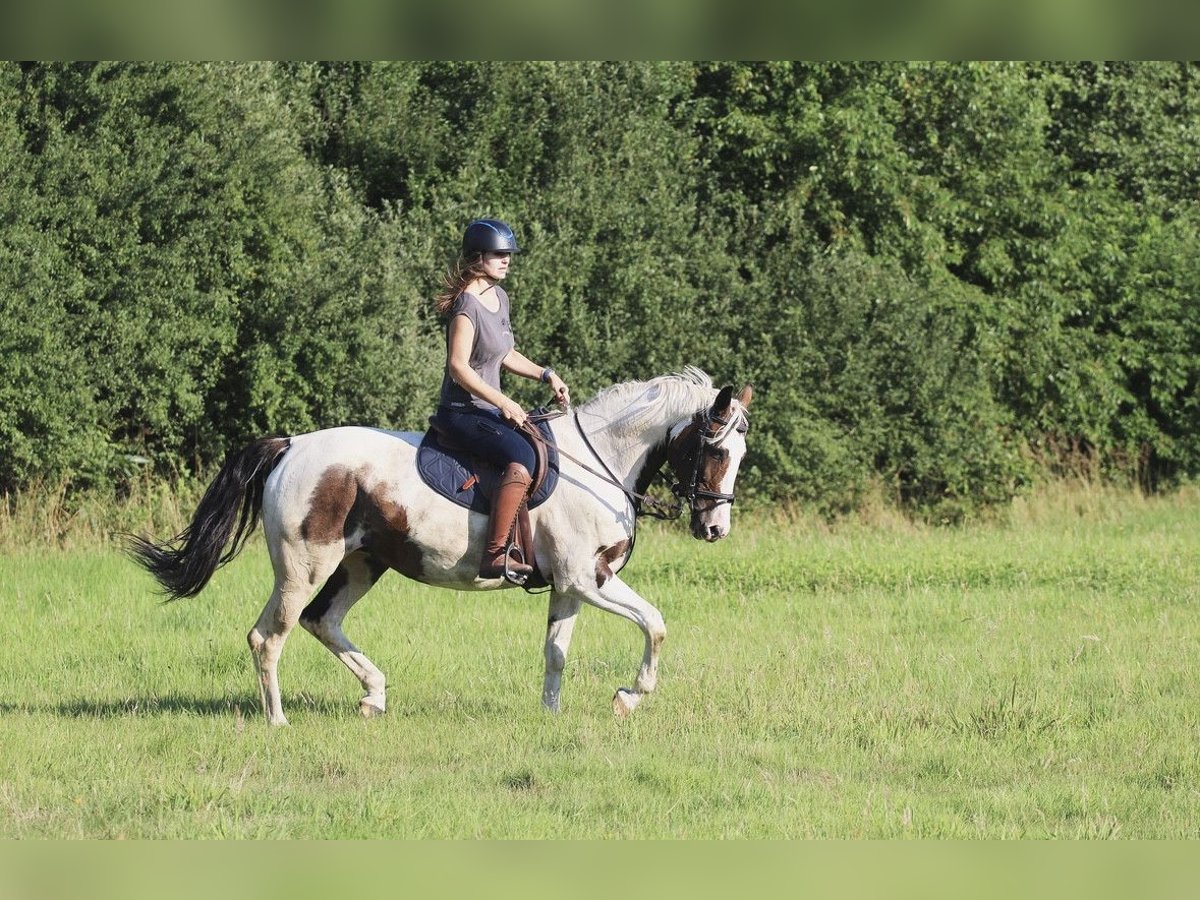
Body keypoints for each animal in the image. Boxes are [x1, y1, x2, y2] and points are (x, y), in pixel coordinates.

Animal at [128, 367, 752, 726]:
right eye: (717, 450)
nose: (714, 530)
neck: (597, 463)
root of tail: (291, 445)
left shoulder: (569, 586)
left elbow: (556, 652)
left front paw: (550, 718)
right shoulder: (588, 579)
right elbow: (656, 623)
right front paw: (628, 698)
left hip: (362, 564)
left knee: (320, 621)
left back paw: (374, 697)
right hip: (305, 567)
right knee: (269, 636)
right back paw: (278, 722)